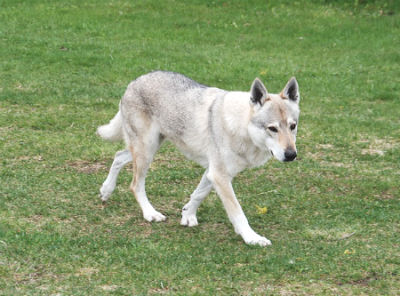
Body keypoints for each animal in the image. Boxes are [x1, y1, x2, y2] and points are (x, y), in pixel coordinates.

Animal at [96, 70, 300, 246]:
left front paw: (187, 216)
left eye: (293, 126)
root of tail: (134, 81)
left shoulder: (213, 172)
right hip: (146, 150)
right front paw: (252, 238)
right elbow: (237, 212)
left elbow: (198, 194)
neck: (241, 126)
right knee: (135, 184)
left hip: (148, 148)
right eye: (272, 128)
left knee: (118, 156)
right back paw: (150, 213)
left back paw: (106, 190)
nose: (291, 155)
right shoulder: (220, 175)